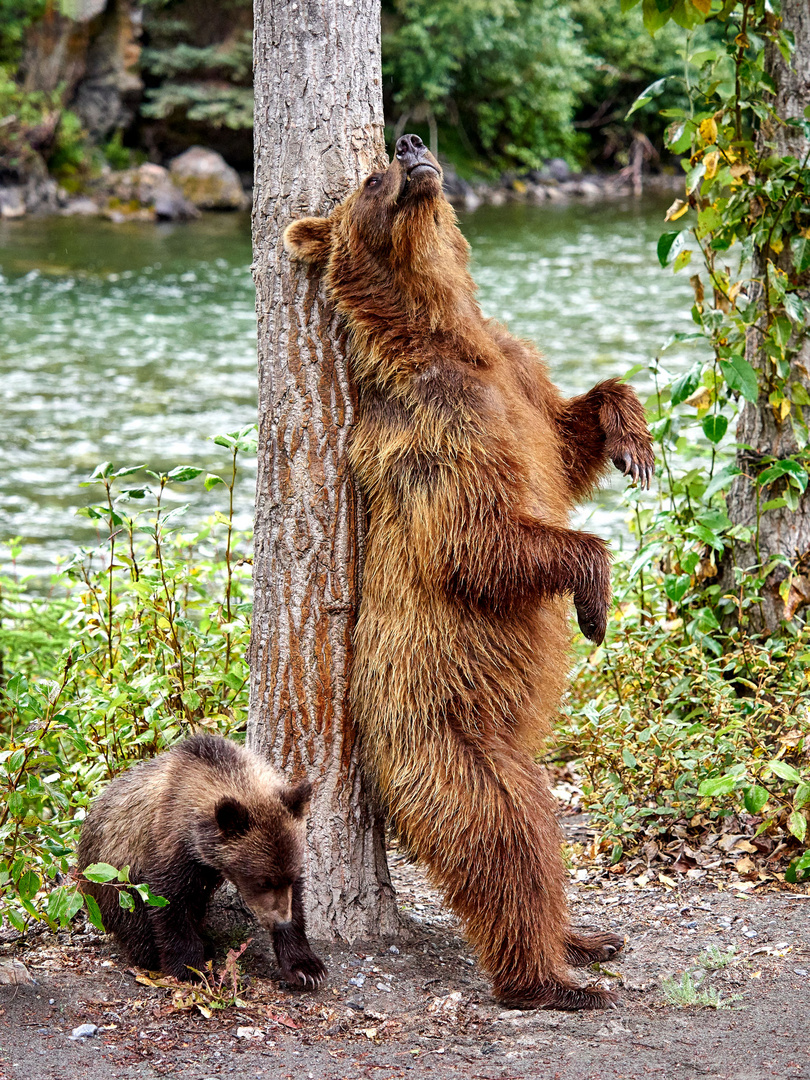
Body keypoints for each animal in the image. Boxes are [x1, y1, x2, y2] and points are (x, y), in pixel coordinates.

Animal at [282, 137, 652, 1010]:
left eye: (392, 153)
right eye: (371, 178)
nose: (411, 146)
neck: (444, 329)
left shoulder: (516, 377)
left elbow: (566, 437)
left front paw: (633, 439)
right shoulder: (433, 429)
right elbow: (478, 542)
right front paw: (595, 598)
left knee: (543, 836)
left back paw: (586, 938)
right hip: (448, 736)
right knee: (505, 838)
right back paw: (550, 979)